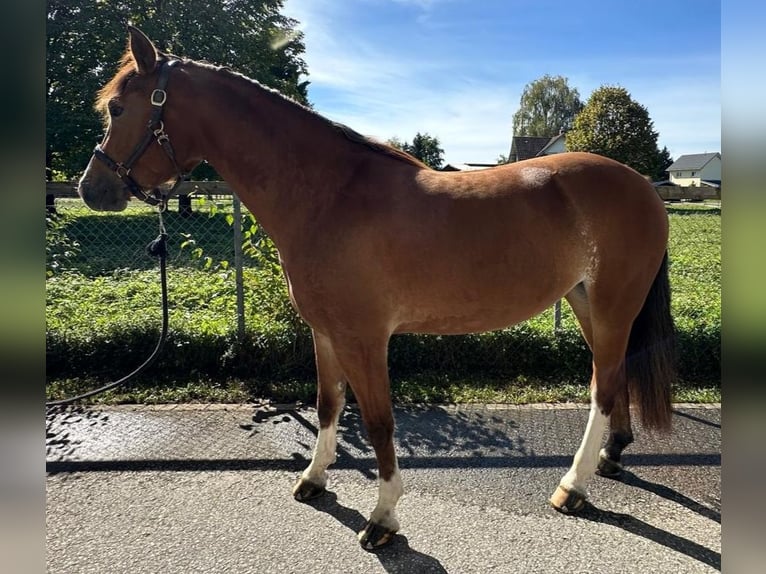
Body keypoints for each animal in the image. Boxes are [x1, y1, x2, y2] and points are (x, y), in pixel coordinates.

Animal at [79, 27, 680, 552]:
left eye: (118, 108)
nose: (92, 187)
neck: (329, 196)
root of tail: (642, 187)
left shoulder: (364, 339)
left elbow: (377, 422)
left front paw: (383, 517)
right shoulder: (325, 332)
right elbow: (328, 405)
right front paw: (314, 479)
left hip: (611, 305)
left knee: (604, 387)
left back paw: (573, 486)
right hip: (586, 303)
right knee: (615, 374)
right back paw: (611, 457)